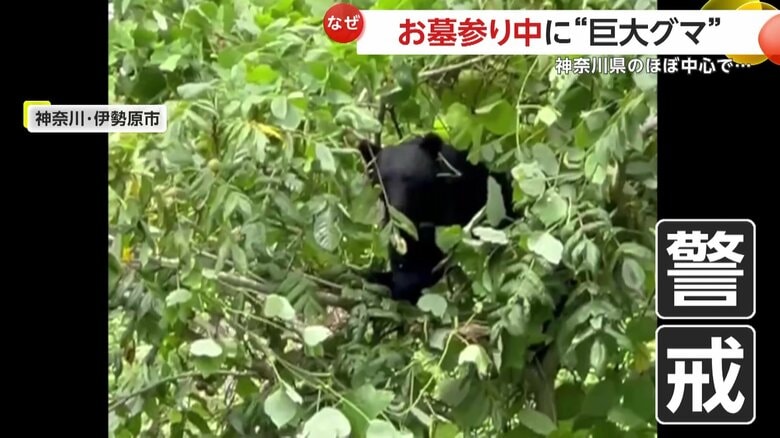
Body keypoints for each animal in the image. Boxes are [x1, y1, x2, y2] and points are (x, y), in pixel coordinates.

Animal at [357, 132, 516, 304]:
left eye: (409, 178)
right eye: (382, 182)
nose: (396, 208)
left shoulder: (452, 199)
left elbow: (438, 246)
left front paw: (404, 285)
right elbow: (403, 246)